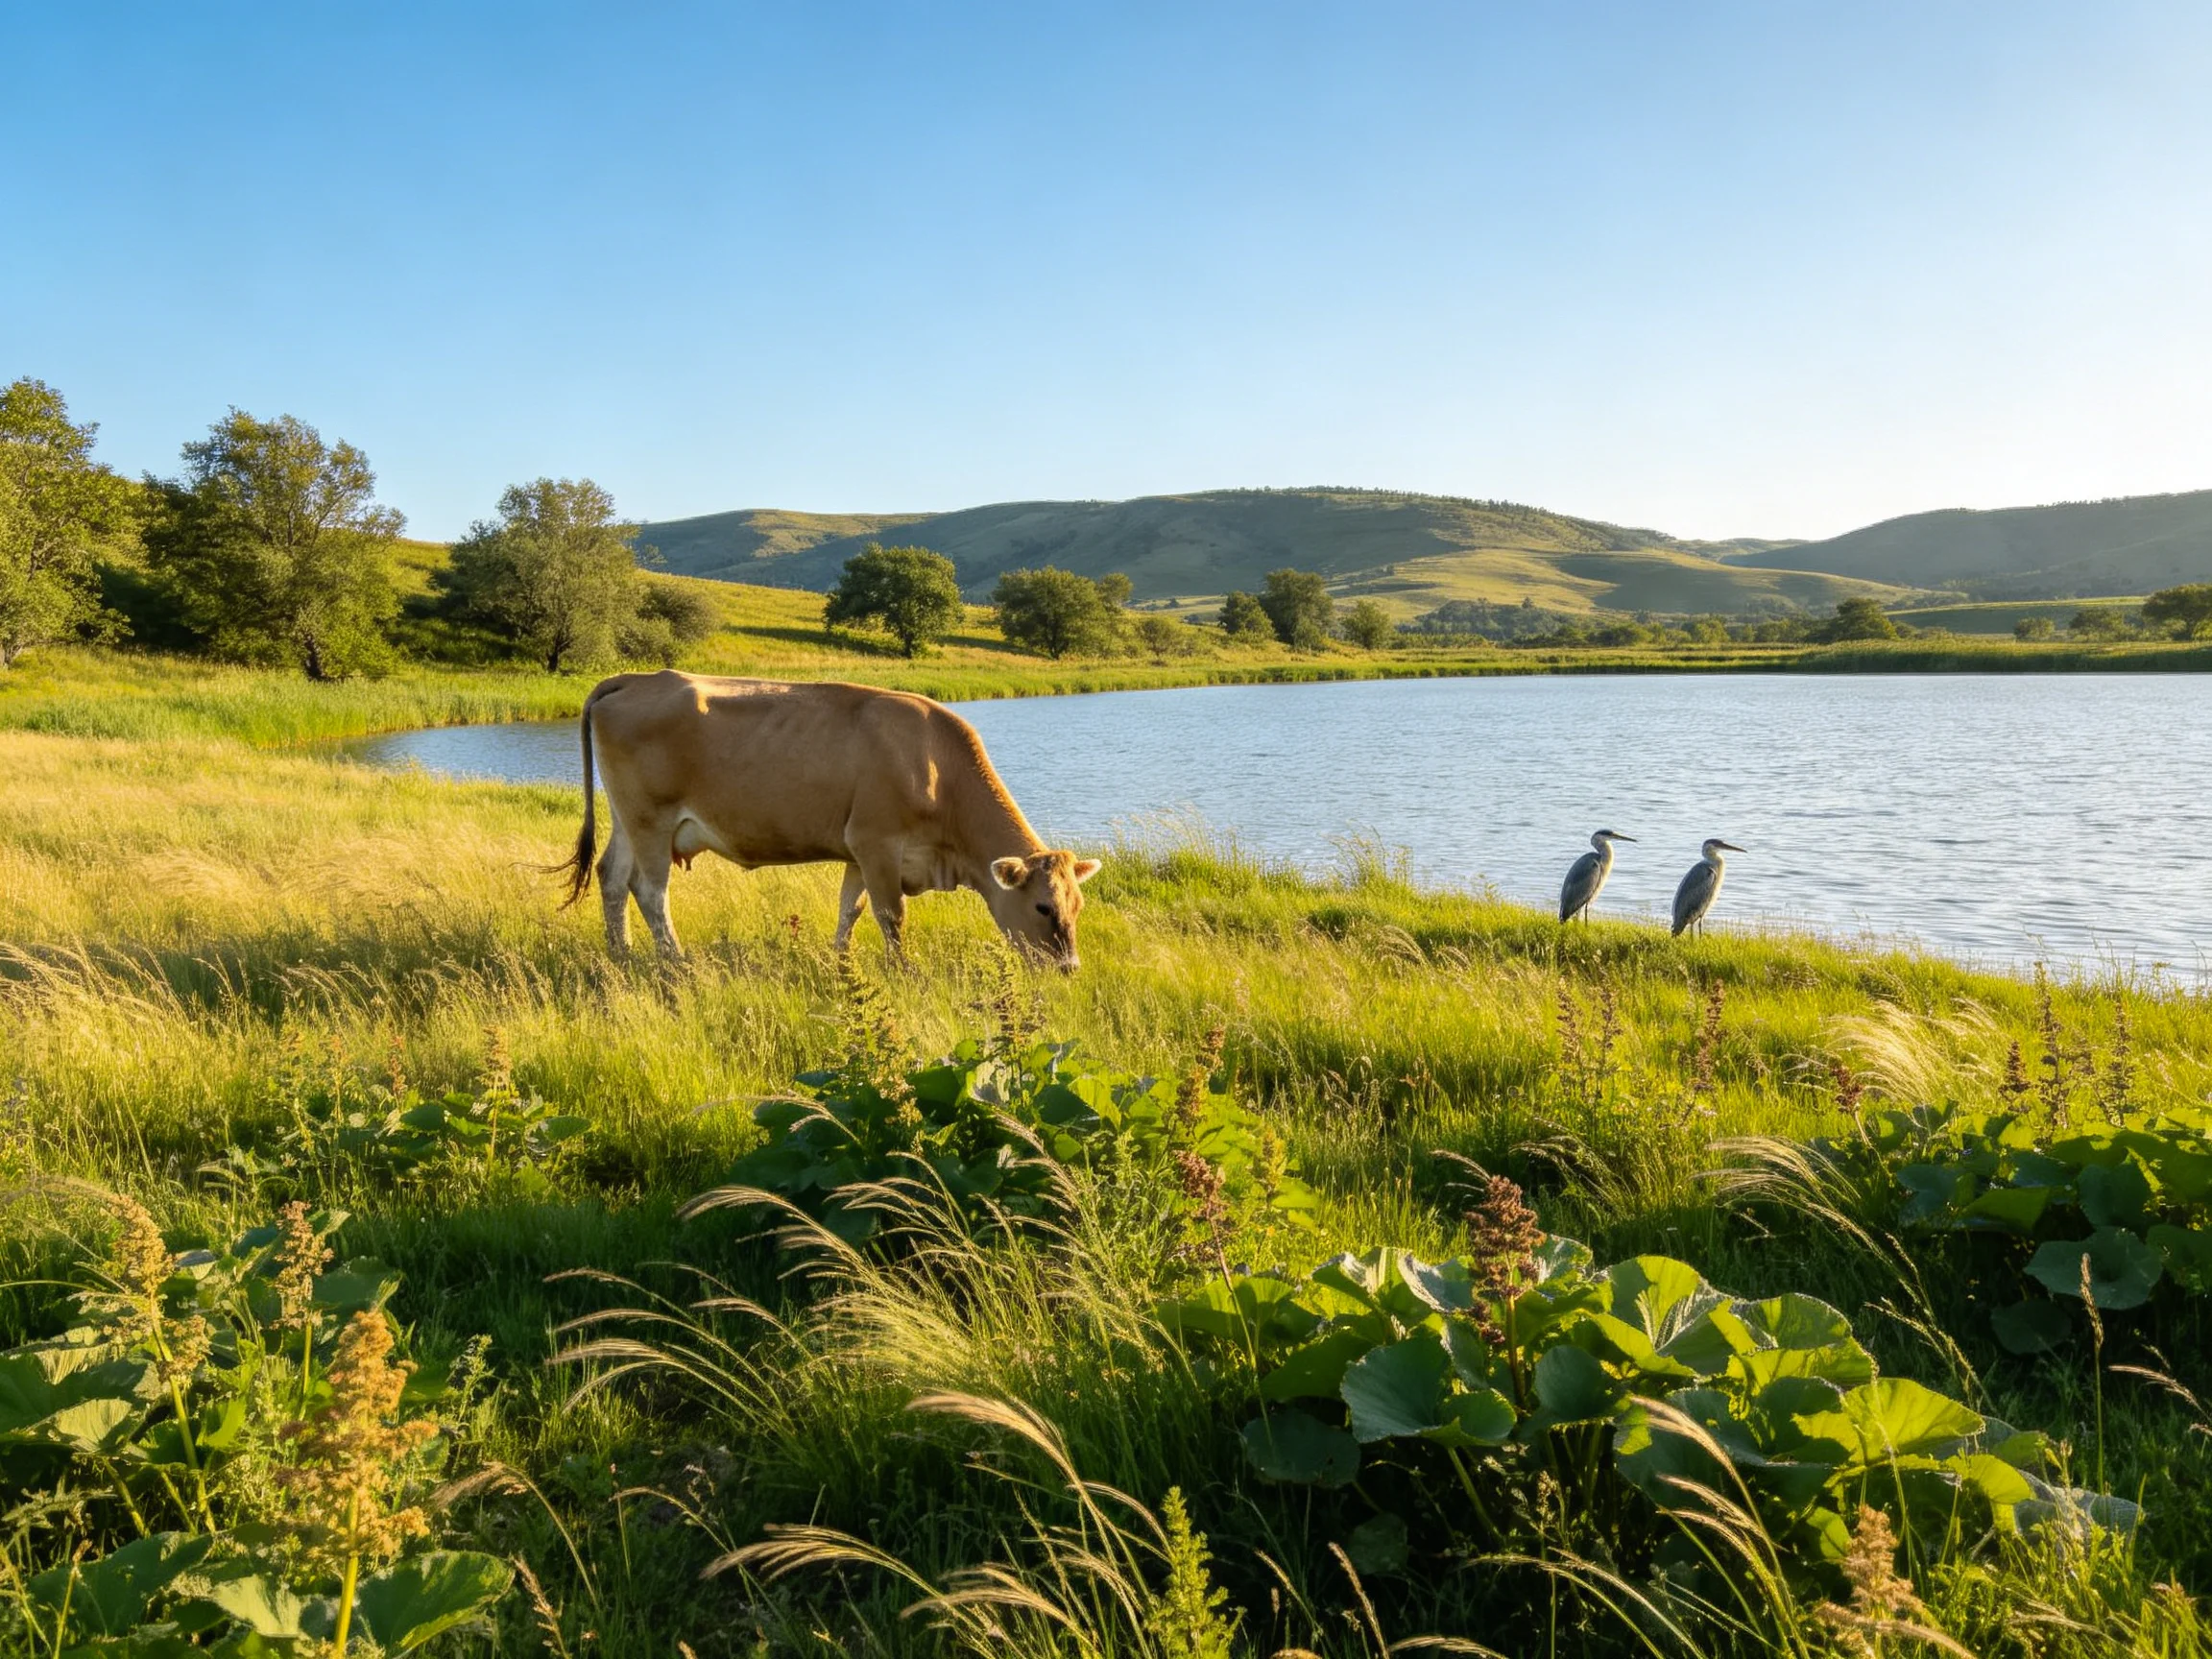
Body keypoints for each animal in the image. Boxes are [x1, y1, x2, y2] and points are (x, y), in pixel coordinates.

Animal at [554, 671, 1100, 969]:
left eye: (1077, 905)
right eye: (1043, 908)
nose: (1070, 967)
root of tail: (635, 679)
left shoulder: (858, 850)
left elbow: (849, 911)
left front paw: (843, 965)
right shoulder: (877, 842)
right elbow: (891, 915)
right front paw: (902, 970)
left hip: (628, 818)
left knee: (611, 877)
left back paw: (622, 954)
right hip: (651, 819)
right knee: (650, 891)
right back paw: (674, 961)